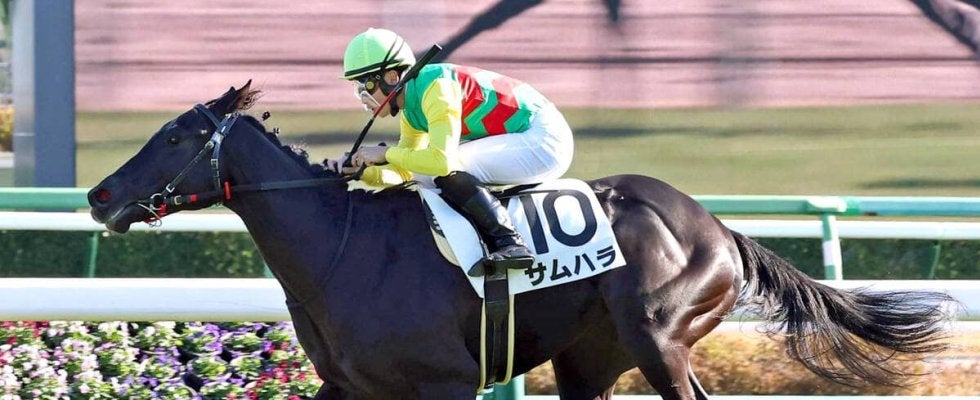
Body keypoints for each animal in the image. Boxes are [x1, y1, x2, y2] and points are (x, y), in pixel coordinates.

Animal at [88, 81, 954, 400]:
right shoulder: (350, 387)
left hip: (660, 335)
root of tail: (714, 224)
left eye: (173, 136)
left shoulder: (444, 384)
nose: (98, 195)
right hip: (589, 359)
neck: (338, 253)